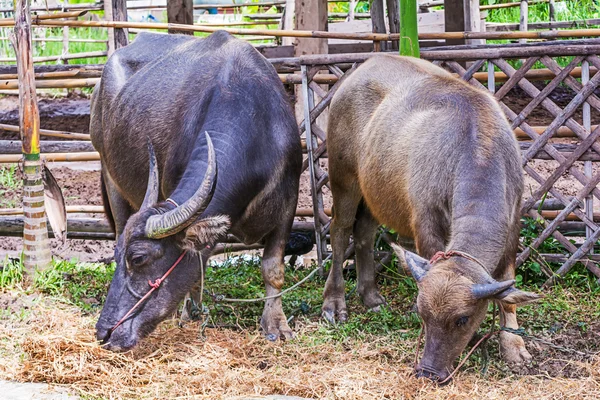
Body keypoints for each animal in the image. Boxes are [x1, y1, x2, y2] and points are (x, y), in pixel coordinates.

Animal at [91, 31, 302, 350]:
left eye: (138, 258)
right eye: (117, 259)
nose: (104, 333)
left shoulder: (288, 204)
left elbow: (273, 269)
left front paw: (276, 325)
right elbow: (198, 268)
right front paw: (187, 313)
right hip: (110, 175)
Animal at [324, 54, 544, 382]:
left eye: (463, 319)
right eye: (422, 313)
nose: (428, 371)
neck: (476, 148)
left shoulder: (514, 223)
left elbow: (507, 287)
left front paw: (514, 347)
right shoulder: (425, 224)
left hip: (375, 192)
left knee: (364, 231)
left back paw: (371, 296)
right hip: (343, 178)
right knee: (339, 230)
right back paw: (334, 303)